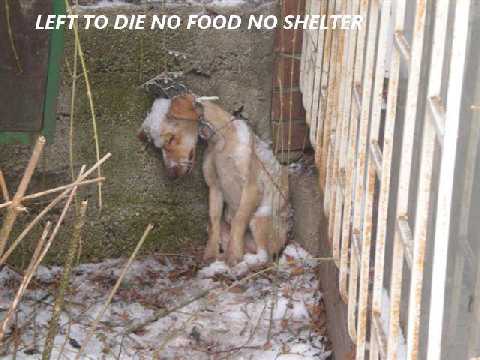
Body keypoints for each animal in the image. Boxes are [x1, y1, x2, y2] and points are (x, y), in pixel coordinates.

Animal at [139, 94, 288, 266]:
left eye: (171, 139)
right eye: (159, 147)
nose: (171, 175)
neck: (221, 141)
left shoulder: (252, 187)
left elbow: (239, 220)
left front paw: (234, 256)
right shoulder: (215, 187)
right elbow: (214, 220)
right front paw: (210, 255)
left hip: (260, 217)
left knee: (265, 256)